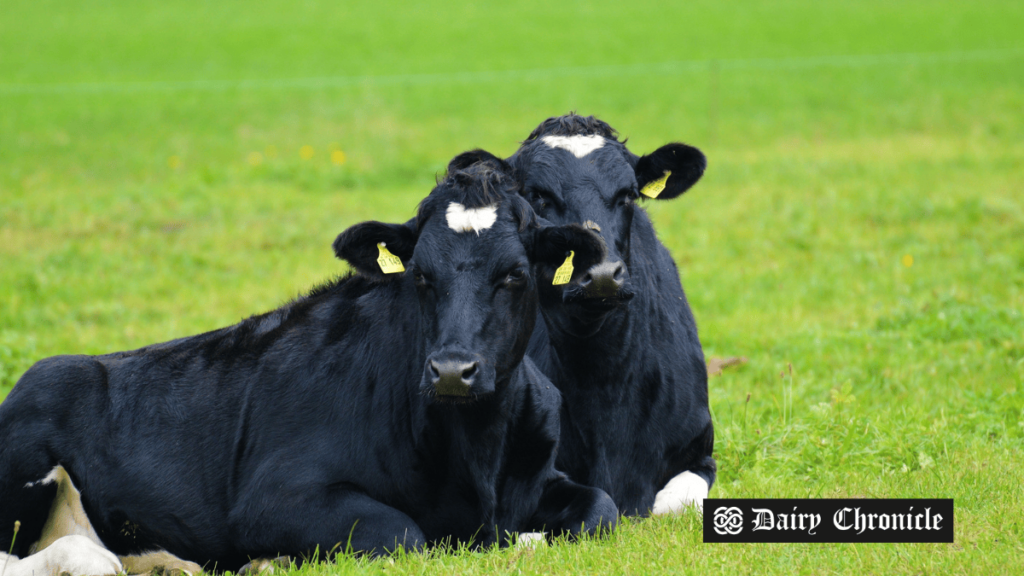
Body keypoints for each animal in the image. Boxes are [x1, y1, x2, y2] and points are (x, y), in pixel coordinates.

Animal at [0, 152, 614, 569]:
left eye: (514, 274)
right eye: (420, 274)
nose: (451, 371)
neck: (476, 452)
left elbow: (601, 510)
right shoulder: (274, 498)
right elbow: (403, 535)